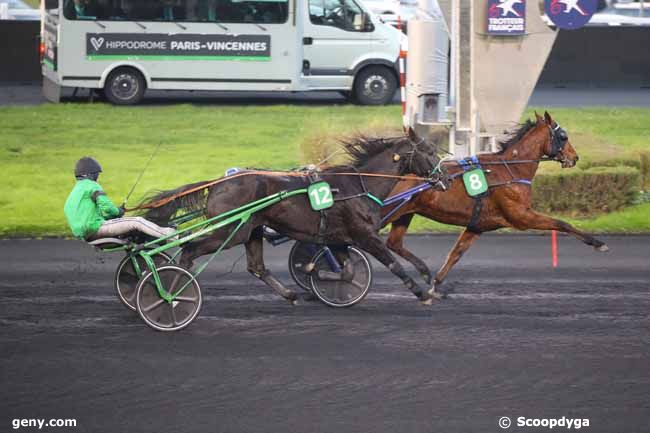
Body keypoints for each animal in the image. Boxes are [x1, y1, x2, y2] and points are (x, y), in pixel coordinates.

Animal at [142, 133, 446, 306]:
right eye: (429, 152)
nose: (443, 179)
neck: (358, 186)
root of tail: (218, 182)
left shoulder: (338, 239)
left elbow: (347, 271)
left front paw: (315, 273)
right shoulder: (364, 236)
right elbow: (393, 264)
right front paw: (423, 293)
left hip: (250, 231)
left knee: (256, 267)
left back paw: (289, 294)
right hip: (230, 231)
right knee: (189, 249)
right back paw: (173, 286)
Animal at [380, 109, 608, 296]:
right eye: (563, 136)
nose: (574, 157)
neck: (511, 170)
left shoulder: (477, 225)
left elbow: (456, 253)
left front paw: (436, 284)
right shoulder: (521, 216)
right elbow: (561, 223)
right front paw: (598, 243)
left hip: (406, 212)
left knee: (393, 242)